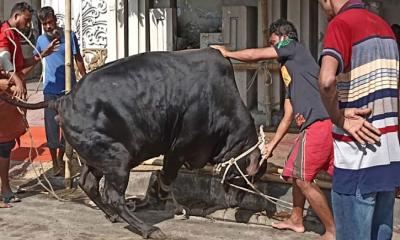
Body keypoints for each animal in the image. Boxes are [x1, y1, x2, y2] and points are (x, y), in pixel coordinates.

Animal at [1, 47, 264, 238]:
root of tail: (64, 100)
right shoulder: (178, 150)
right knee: (112, 195)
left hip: (98, 157)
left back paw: (113, 216)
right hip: (118, 157)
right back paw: (149, 229)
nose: (235, 202)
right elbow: (167, 176)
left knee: (88, 183)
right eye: (246, 177)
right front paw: (160, 198)